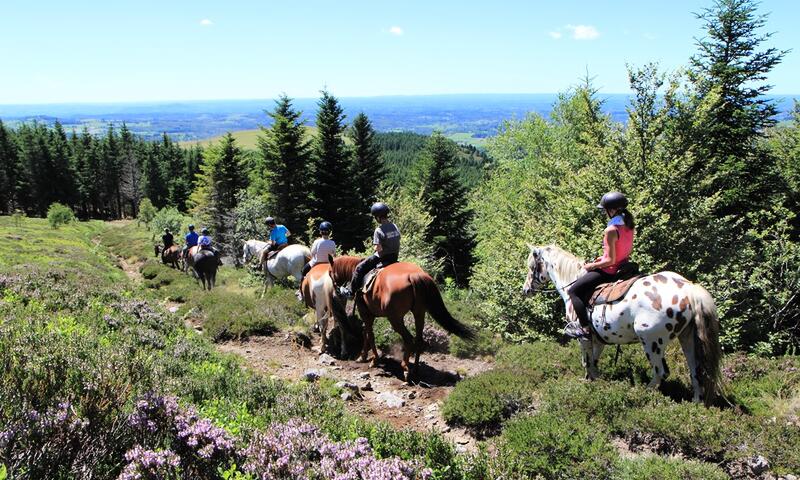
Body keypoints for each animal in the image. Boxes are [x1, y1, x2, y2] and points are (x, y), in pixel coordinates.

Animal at [326, 255, 476, 382]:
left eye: (330, 273)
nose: (336, 291)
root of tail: (415, 276)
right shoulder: (369, 316)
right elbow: (367, 334)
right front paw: (363, 356)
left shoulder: (366, 314)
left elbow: (369, 335)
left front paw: (373, 360)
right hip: (419, 313)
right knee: (419, 339)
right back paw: (415, 369)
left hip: (395, 319)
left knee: (409, 339)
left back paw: (405, 368)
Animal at [520, 244, 720, 404]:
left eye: (531, 266)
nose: (526, 290)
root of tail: (688, 288)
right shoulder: (598, 339)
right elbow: (594, 362)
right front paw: (597, 381)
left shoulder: (583, 338)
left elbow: (586, 361)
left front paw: (588, 382)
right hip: (687, 338)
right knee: (695, 370)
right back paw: (695, 403)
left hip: (651, 342)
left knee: (660, 373)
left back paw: (641, 394)